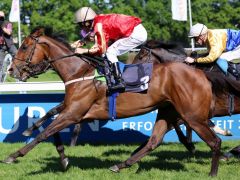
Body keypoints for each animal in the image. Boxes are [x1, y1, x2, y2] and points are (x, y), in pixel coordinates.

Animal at [5, 28, 219, 176]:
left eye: (24, 46)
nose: (11, 70)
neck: (80, 72)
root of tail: (199, 72)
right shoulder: (73, 111)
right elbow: (50, 124)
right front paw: (62, 157)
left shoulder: (73, 113)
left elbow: (45, 133)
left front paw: (13, 155)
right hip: (169, 111)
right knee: (154, 141)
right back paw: (120, 165)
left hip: (192, 115)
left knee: (214, 141)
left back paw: (212, 172)